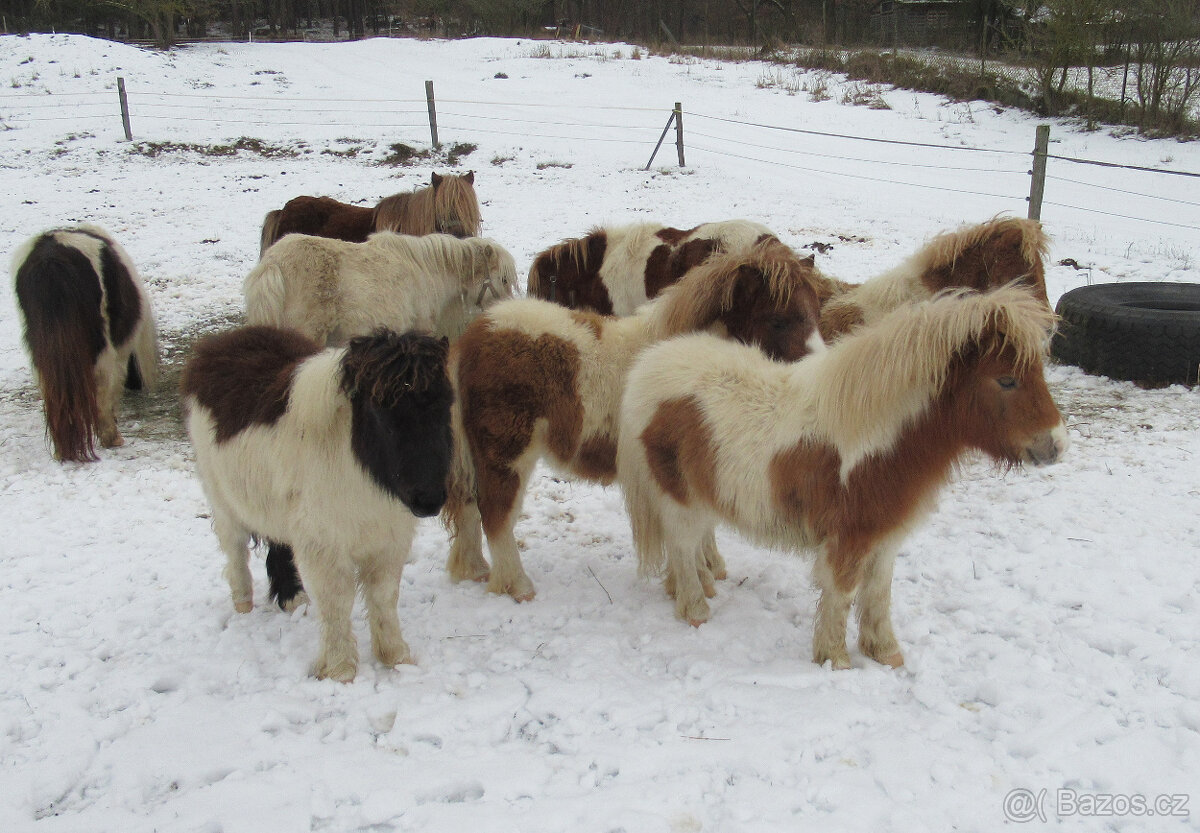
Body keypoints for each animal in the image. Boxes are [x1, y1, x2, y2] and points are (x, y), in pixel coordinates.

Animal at [182, 326, 454, 682]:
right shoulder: (325, 546)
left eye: (445, 404)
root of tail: (216, 346)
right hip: (223, 502)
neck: (359, 466)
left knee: (279, 545)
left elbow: (383, 597)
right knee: (236, 553)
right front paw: (340, 670)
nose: (428, 500)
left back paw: (292, 599)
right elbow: (337, 601)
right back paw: (243, 606)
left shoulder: (387, 541)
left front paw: (396, 658)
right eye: (380, 410)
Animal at [444, 236, 827, 603]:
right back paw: (518, 586)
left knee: (469, 508)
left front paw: (710, 568)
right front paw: (696, 580)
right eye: (778, 319)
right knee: (496, 513)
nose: (817, 379)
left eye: (815, 313)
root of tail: (475, 334)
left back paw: (475, 570)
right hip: (508, 454)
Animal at [617, 285, 1068, 670]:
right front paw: (835, 659)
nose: (1056, 445)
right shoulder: (849, 538)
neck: (878, 438)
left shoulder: (885, 537)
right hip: (679, 499)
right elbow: (844, 592)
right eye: (1006, 380)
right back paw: (695, 609)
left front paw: (885, 652)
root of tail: (648, 367)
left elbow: (879, 592)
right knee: (681, 546)